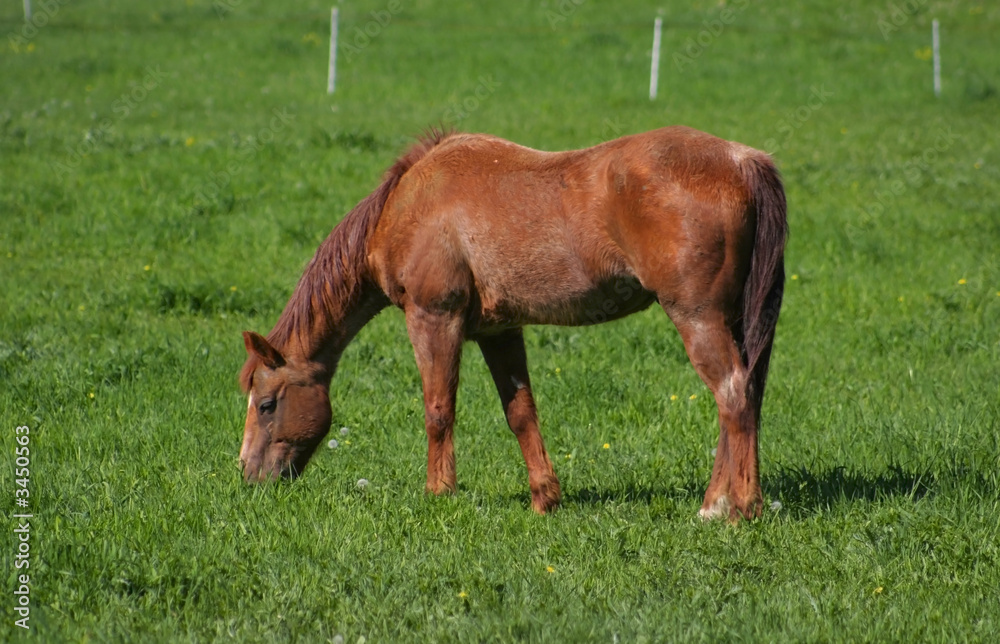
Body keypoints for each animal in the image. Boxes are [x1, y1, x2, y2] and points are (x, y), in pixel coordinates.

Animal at [238, 126, 786, 521]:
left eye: (266, 404)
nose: (246, 475)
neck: (410, 204)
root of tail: (742, 160)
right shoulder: (498, 331)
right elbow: (521, 412)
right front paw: (545, 498)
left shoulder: (434, 318)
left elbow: (438, 411)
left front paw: (439, 494)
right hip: (732, 320)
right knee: (745, 396)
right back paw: (719, 502)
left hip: (697, 317)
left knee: (733, 396)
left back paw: (735, 508)